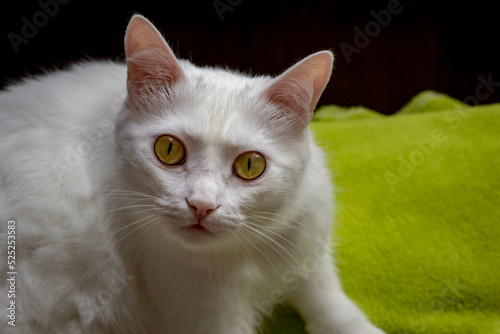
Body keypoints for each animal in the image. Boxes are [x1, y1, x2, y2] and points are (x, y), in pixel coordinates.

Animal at [0, 15, 384, 334]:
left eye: (251, 165)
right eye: (168, 149)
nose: (201, 205)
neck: (247, 250)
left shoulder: (308, 249)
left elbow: (330, 302)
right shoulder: (204, 314)